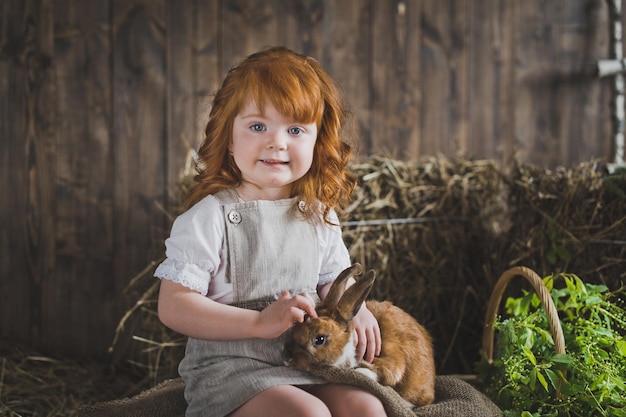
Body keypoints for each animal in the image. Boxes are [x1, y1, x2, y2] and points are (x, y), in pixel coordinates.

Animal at [284, 264, 434, 406]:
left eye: (320, 339)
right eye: (296, 326)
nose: (287, 358)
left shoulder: (392, 362)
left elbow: (384, 374)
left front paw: (360, 371)